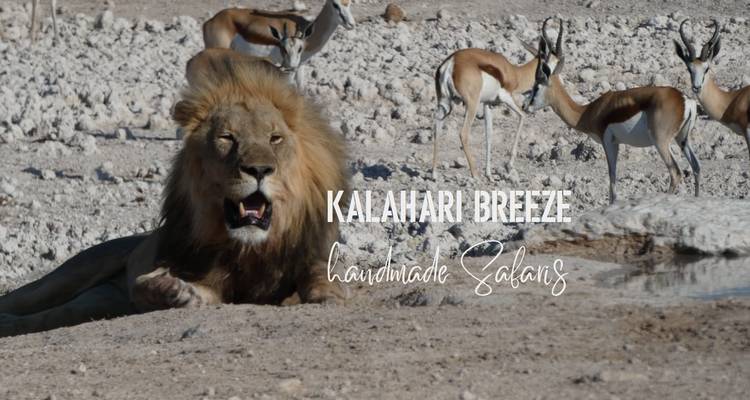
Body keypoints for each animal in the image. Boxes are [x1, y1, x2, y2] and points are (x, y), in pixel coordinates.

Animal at [0, 49, 350, 337]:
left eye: (275, 138)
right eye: (227, 138)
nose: (260, 169)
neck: (249, 248)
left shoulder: (310, 255)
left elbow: (320, 276)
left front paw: (328, 294)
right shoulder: (207, 275)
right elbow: (162, 286)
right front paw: (167, 288)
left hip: (96, 303)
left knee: (52, 316)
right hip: (63, 278)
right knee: (24, 303)